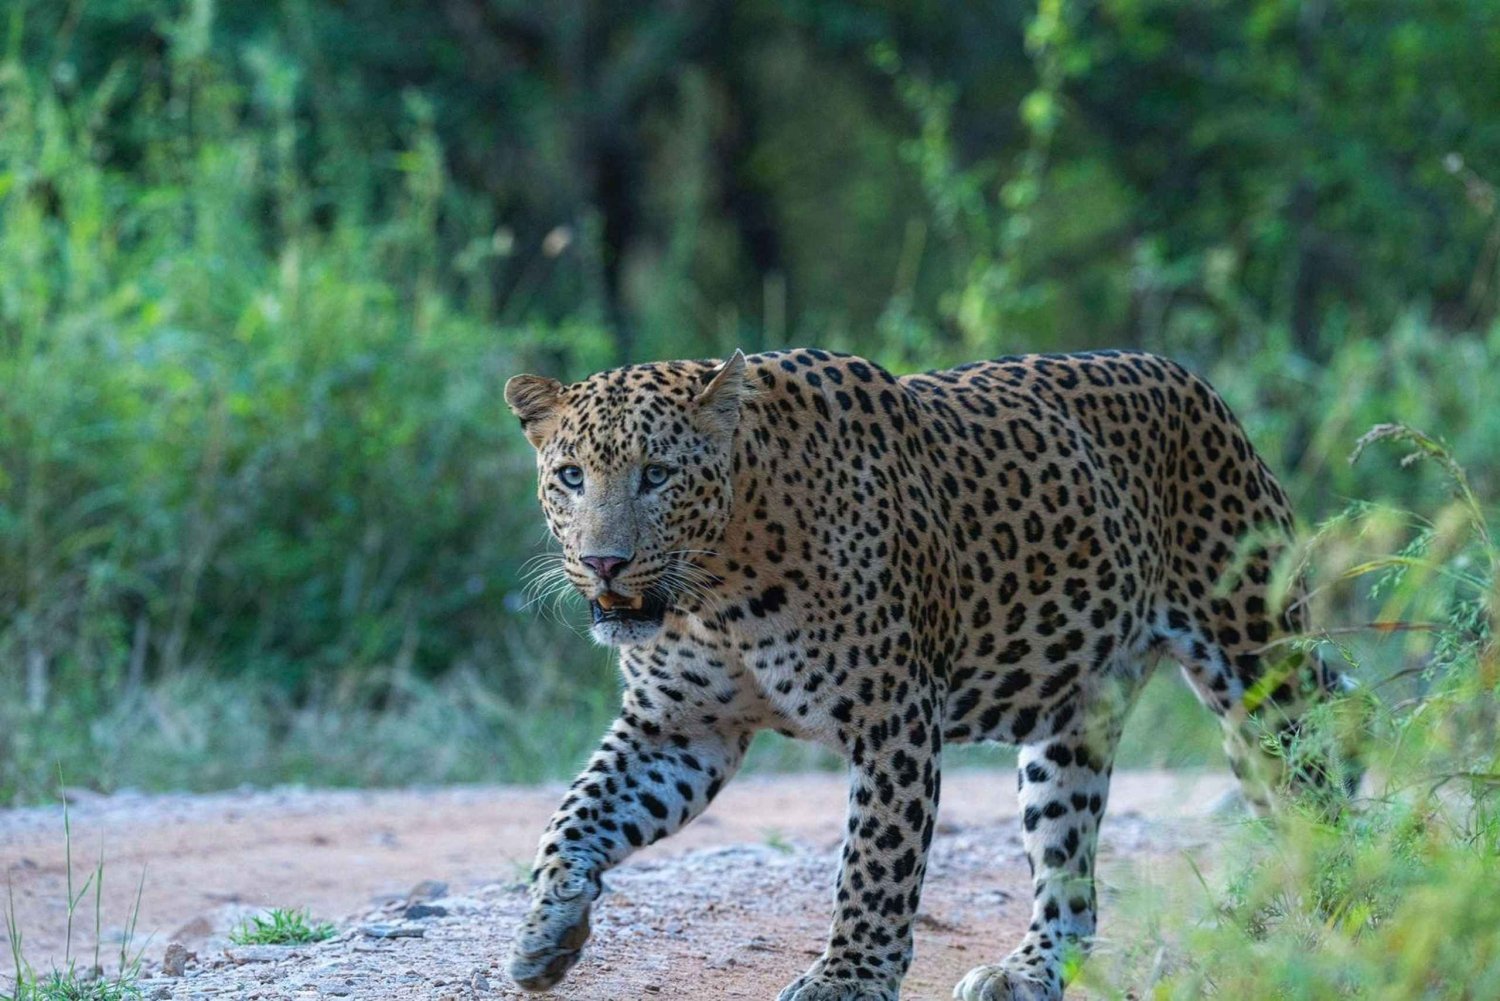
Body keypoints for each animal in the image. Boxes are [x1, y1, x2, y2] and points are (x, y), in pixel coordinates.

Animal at [501, 348, 1353, 1001]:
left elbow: (876, 862)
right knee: (1070, 876)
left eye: (658, 474)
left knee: (1319, 795)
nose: (604, 561)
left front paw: (846, 979)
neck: (719, 588)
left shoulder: (893, 717)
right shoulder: (679, 728)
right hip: (1070, 726)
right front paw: (548, 928)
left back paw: (1341, 917)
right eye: (571, 476)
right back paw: (1024, 971)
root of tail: (1194, 382)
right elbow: (575, 813)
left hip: (1259, 667)